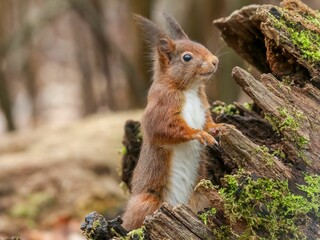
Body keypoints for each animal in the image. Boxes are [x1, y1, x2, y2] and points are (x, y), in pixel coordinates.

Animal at [122, 13, 222, 231]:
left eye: (200, 44)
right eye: (187, 57)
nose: (215, 61)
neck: (189, 90)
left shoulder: (203, 107)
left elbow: (208, 122)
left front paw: (218, 127)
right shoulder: (161, 109)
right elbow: (167, 129)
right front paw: (198, 134)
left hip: (200, 197)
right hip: (147, 203)